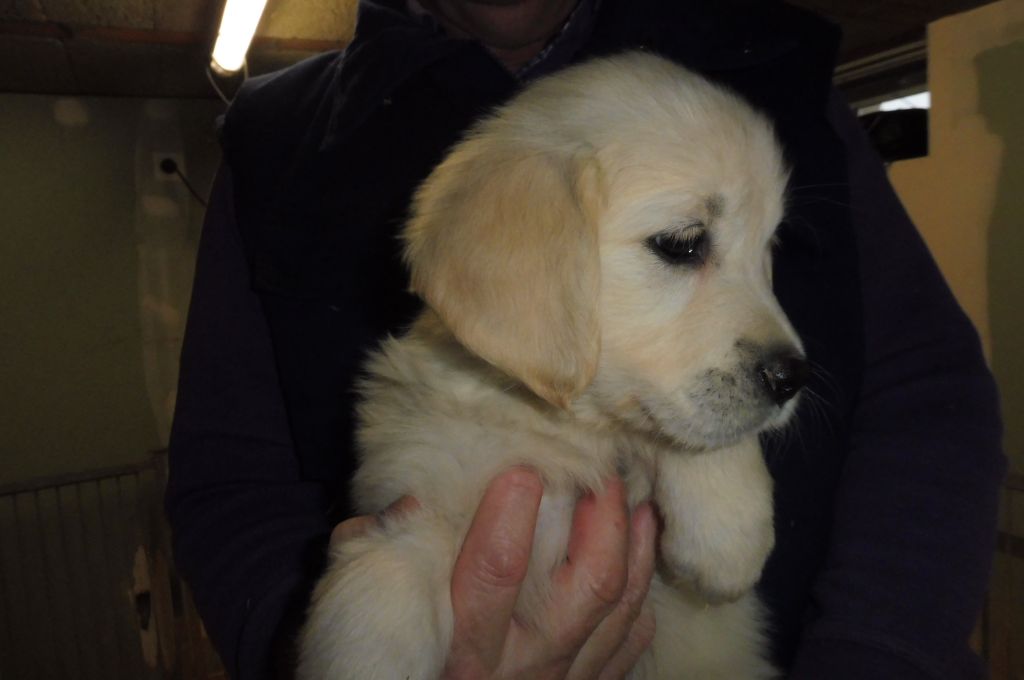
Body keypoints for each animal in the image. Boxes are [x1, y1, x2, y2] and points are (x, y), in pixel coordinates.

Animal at [299, 50, 802, 675]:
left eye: (768, 249)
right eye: (682, 243)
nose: (792, 377)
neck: (561, 429)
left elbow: (694, 433)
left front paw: (727, 529)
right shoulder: (418, 494)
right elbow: (384, 583)